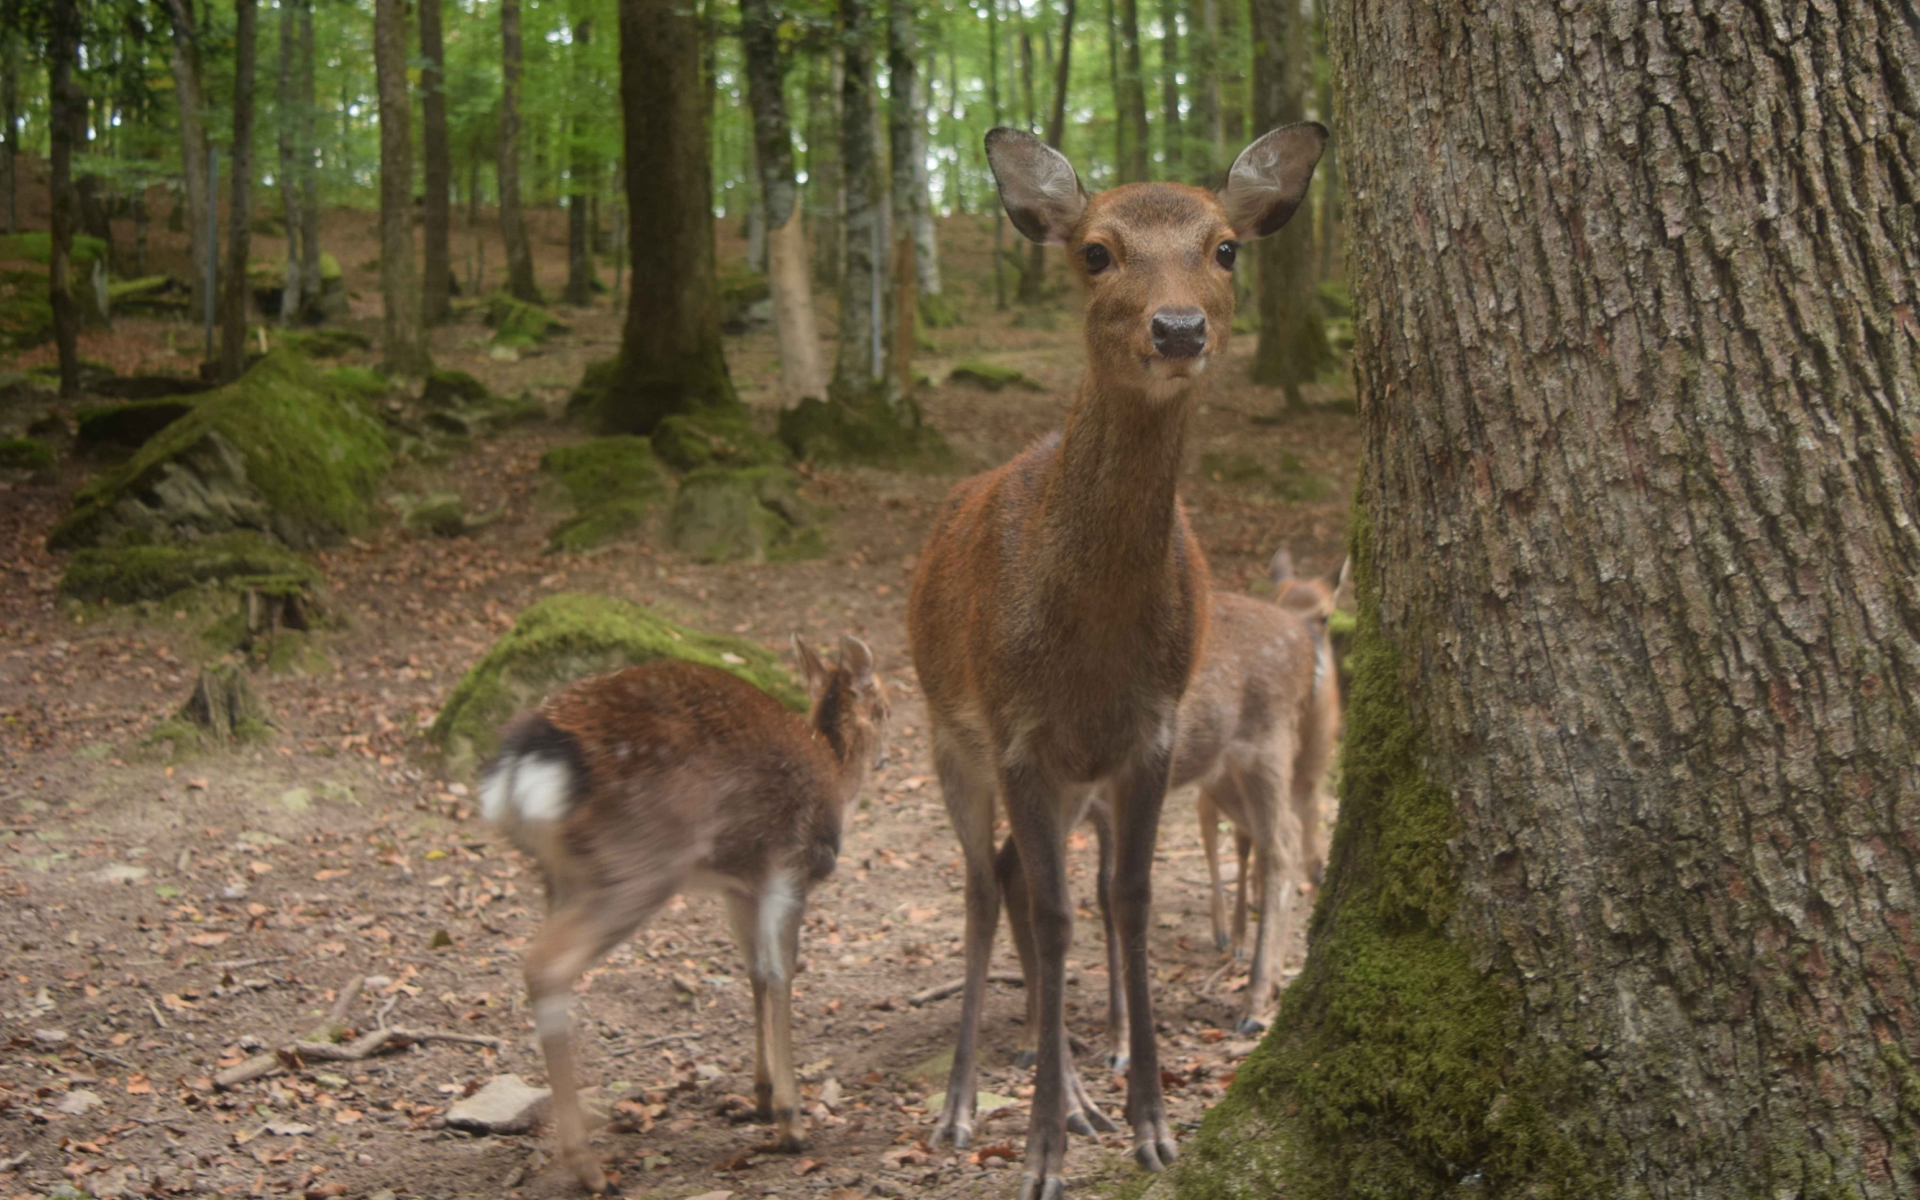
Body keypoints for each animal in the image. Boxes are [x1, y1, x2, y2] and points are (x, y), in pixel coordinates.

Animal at [487, 637, 890, 1190]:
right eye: (886, 706)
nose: (888, 756)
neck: (834, 767)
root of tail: (530, 763)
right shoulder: (791, 864)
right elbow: (781, 973)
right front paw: (792, 1123)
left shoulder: (739, 885)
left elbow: (754, 973)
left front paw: (761, 1098)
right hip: (639, 862)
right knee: (546, 965)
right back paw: (590, 1169)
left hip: (561, 875)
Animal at [906, 123, 1328, 1198]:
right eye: (1096, 250)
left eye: (1226, 247)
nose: (1178, 329)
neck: (1091, 642)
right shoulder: (1018, 734)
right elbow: (1057, 913)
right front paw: (1042, 1150)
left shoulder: (1149, 735)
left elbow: (1126, 904)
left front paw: (1151, 1124)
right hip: (948, 735)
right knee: (984, 888)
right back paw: (963, 1107)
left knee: (1016, 876)